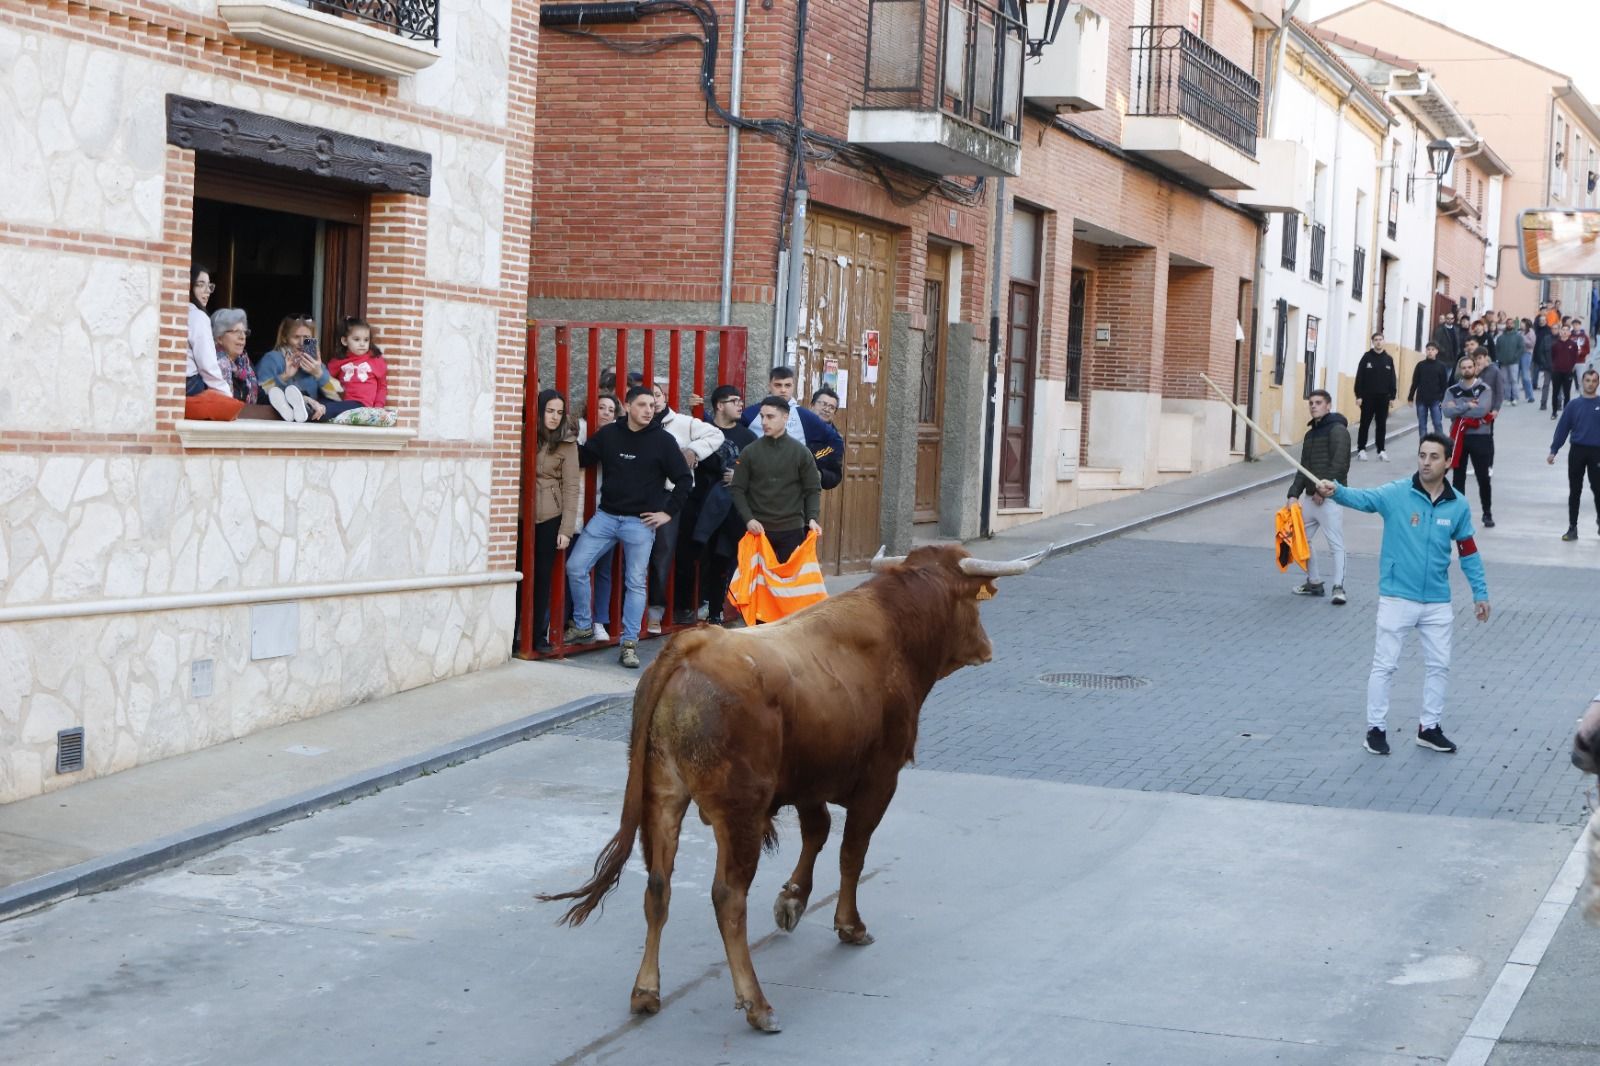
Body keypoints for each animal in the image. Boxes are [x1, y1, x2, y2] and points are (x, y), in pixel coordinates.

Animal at [537, 544, 1036, 1024]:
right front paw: (849, 924)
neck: (896, 633)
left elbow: (817, 833)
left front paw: (792, 900)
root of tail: (693, 644)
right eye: (976, 603)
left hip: (663, 796)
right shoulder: (880, 780)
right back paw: (756, 1004)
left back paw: (645, 993)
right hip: (739, 812)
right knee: (728, 897)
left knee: (659, 887)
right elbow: (852, 853)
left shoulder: (809, 784)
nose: (986, 647)